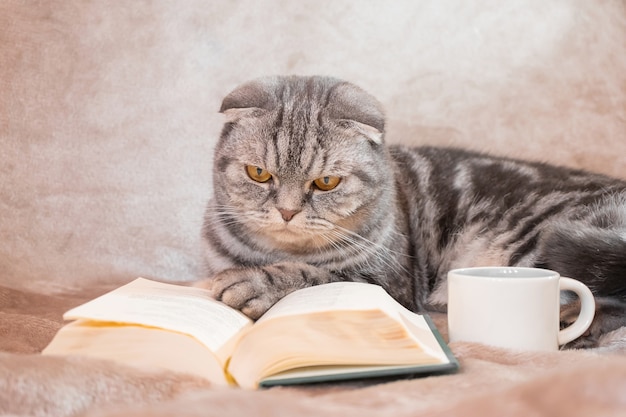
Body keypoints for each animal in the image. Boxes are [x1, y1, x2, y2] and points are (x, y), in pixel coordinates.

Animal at [195, 75, 624, 348]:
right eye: (259, 174)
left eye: (326, 182)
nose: (286, 212)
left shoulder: (391, 283)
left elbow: (315, 276)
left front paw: (256, 283)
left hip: (549, 243)